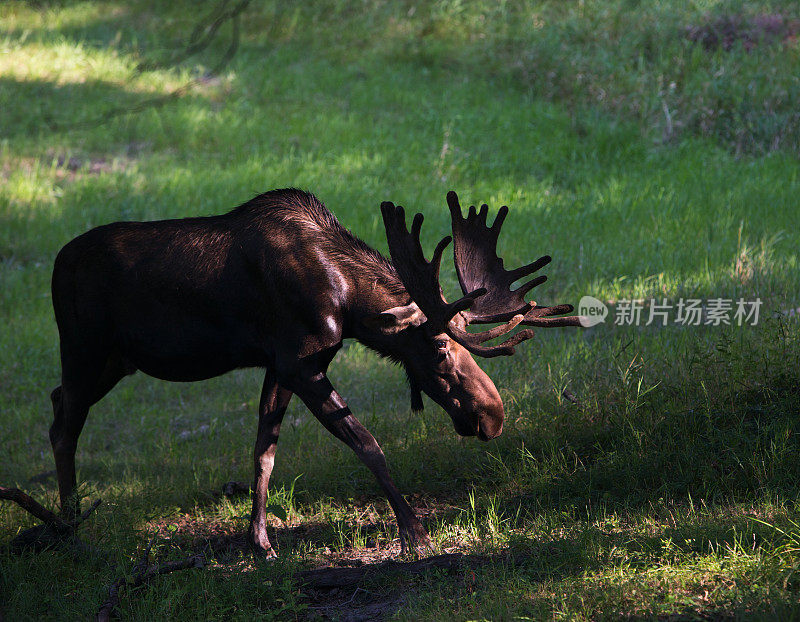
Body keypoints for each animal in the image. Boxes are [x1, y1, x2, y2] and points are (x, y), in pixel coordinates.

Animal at [50, 189, 580, 556]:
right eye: (438, 349)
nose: (493, 415)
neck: (348, 303)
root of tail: (55, 265)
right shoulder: (300, 362)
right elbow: (366, 443)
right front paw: (413, 531)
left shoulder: (281, 365)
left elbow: (264, 452)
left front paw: (259, 542)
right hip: (83, 347)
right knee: (63, 425)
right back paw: (70, 528)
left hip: (116, 362)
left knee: (57, 403)